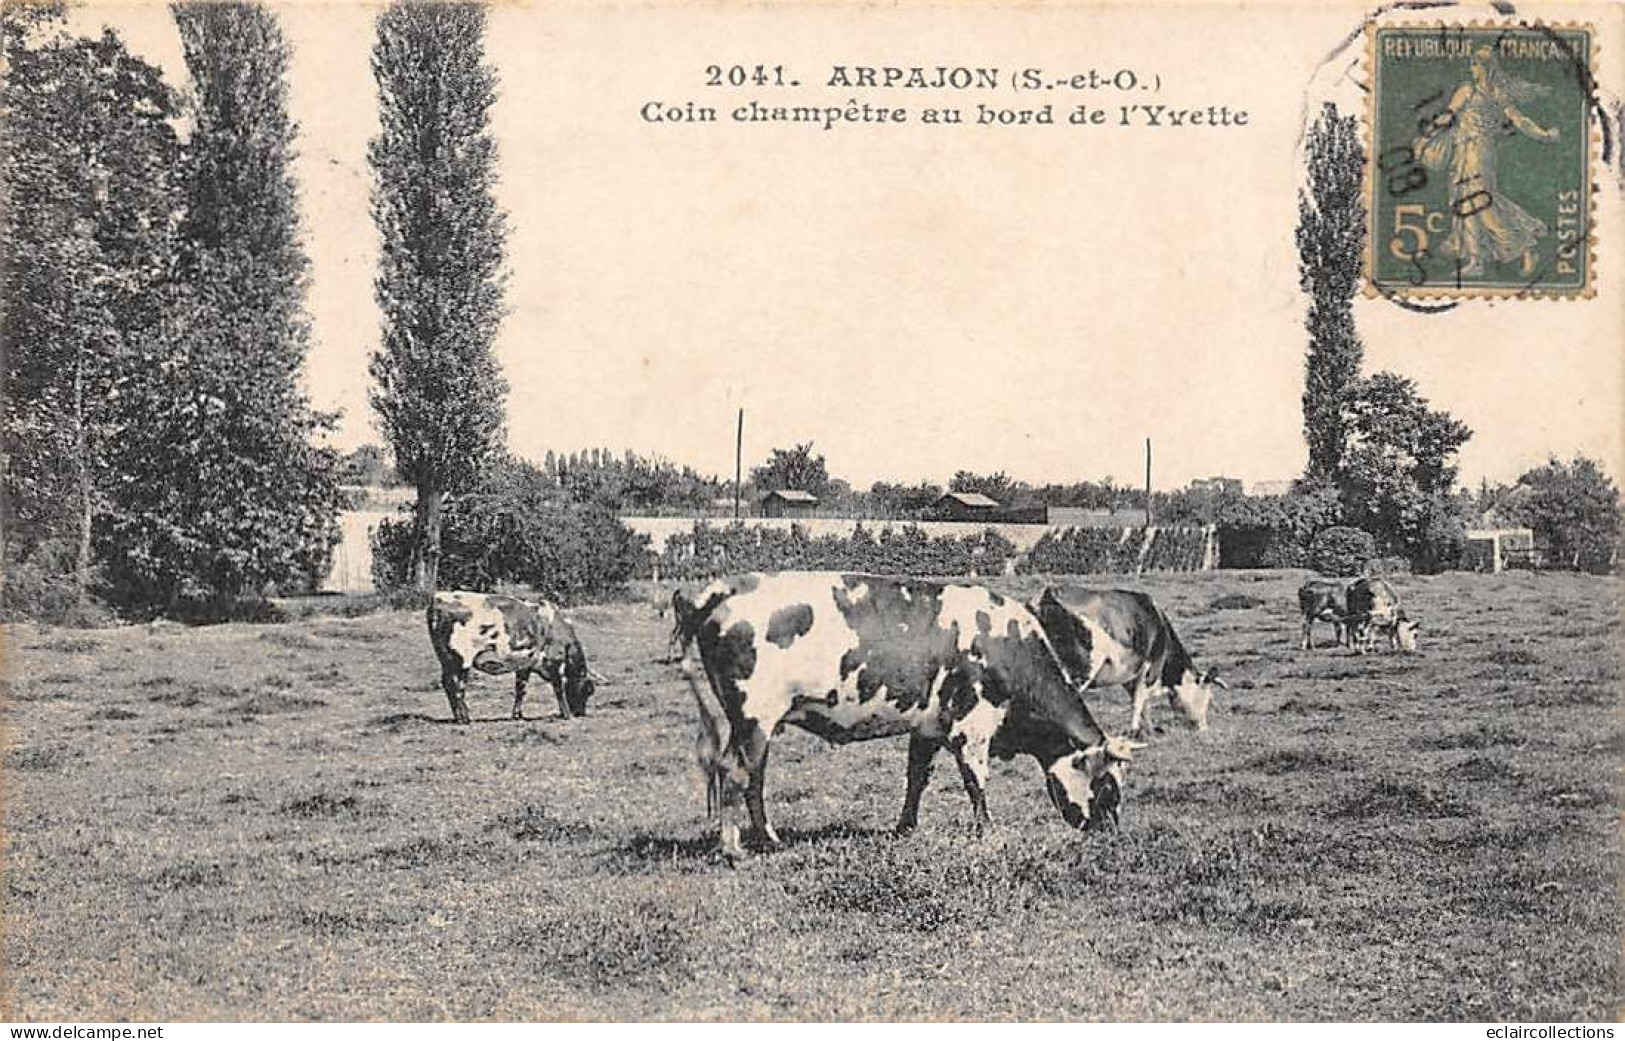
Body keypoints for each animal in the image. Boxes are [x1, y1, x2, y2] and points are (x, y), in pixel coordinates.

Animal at [425, 587, 598, 727]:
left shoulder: (525, 665)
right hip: (460, 659)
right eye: (587, 691)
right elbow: (558, 689)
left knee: (449, 684)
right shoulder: (554, 662)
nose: (580, 713)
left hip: (448, 660)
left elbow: (521, 689)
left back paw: (459, 717)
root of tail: (439, 597)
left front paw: (517, 715)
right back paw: (464, 719)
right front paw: (566, 714)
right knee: (456, 686)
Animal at [672, 571, 1144, 857]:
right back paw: (736, 848)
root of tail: (728, 587)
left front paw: (905, 828)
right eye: (1107, 788)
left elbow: (916, 777)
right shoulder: (971, 726)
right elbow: (976, 782)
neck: (1009, 645)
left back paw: (767, 839)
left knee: (753, 775)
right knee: (735, 771)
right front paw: (988, 834)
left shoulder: (928, 727)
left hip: (755, 725)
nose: (1110, 834)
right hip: (753, 716)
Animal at [1033, 584, 1222, 740]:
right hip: (1079, 670)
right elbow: (1139, 702)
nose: (1203, 729)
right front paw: (1136, 731)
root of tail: (1050, 594)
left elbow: (1142, 704)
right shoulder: (1149, 669)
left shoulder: (1130, 675)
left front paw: (1148, 730)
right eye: (1208, 697)